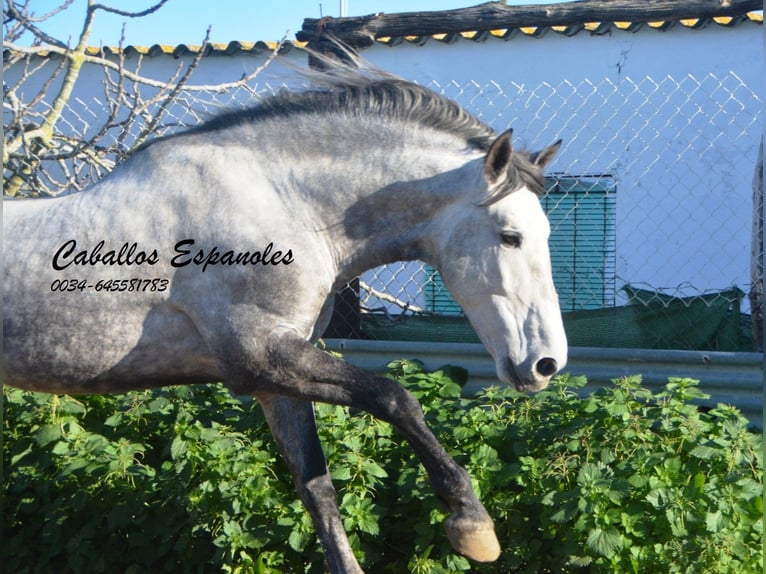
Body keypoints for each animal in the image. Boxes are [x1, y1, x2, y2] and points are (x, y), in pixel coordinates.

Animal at [3, 57, 568, 572]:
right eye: (510, 236)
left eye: (544, 233)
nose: (546, 364)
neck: (281, 201)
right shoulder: (257, 357)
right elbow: (395, 398)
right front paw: (472, 524)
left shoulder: (276, 379)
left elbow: (317, 489)